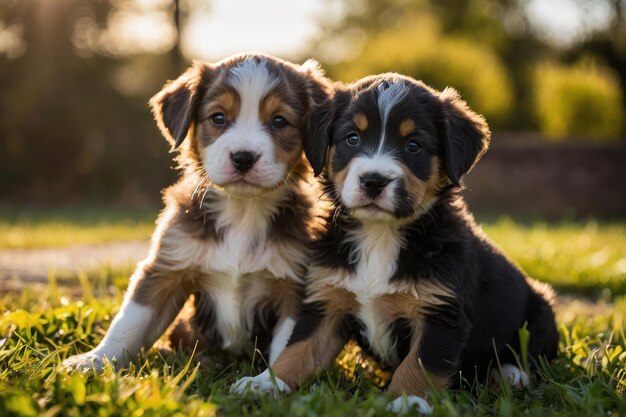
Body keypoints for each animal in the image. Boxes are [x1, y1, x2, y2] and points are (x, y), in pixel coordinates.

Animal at [62, 52, 332, 370]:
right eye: (218, 117)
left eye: (279, 121)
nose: (243, 158)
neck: (243, 211)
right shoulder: (165, 267)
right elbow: (130, 322)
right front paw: (94, 360)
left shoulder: (294, 285)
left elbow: (289, 347)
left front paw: (271, 380)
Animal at [234, 73, 556, 412]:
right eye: (352, 138)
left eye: (413, 145)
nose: (373, 181)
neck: (380, 234)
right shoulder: (328, 302)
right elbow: (298, 350)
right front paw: (265, 383)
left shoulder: (440, 312)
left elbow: (419, 364)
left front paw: (408, 400)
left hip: (541, 310)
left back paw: (509, 374)